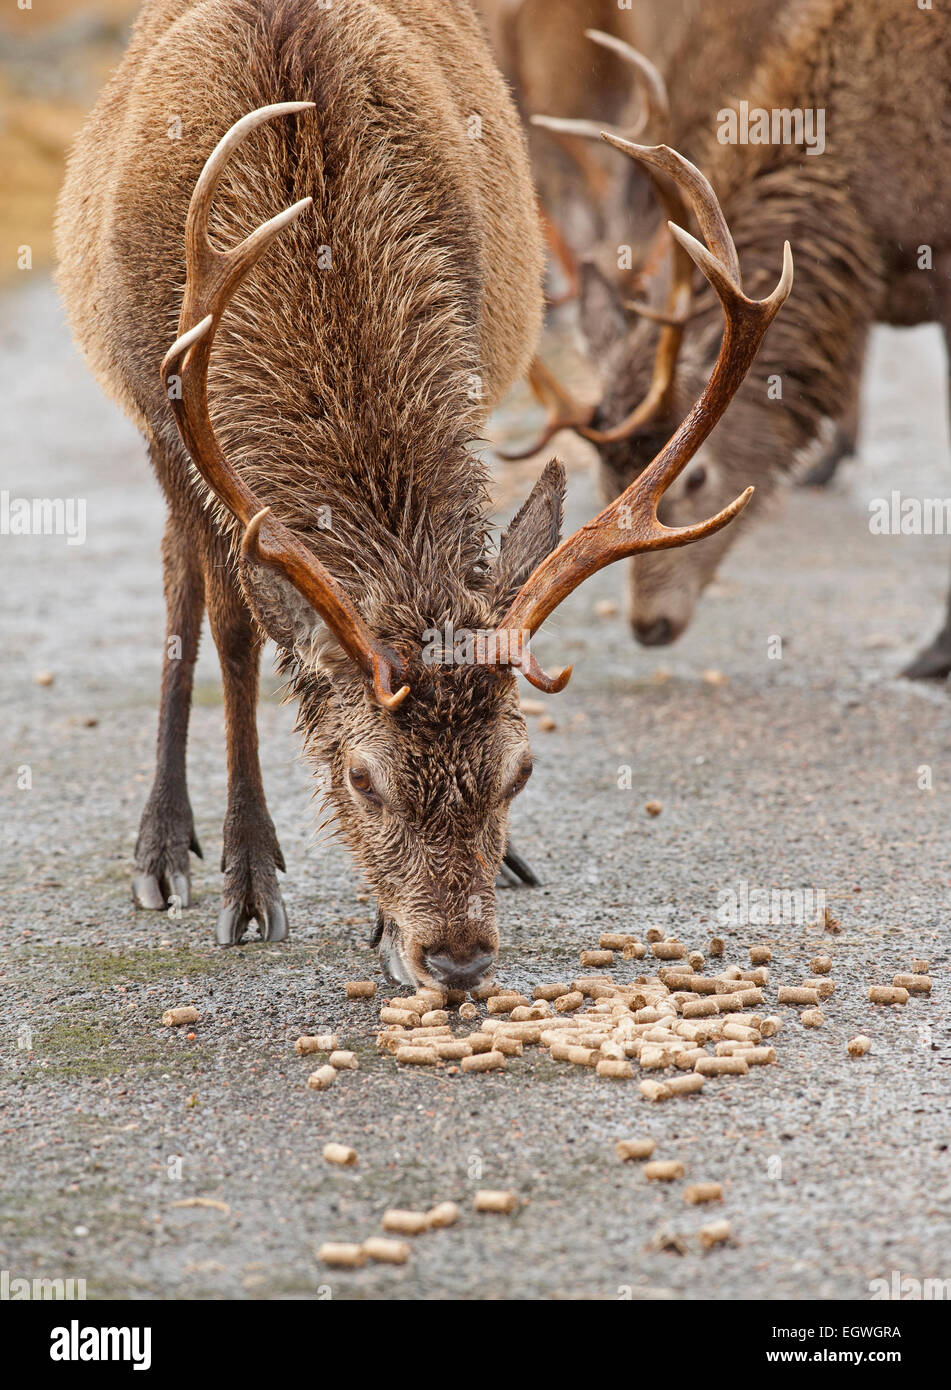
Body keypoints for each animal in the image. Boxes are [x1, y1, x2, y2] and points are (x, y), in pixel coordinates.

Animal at [55, 0, 789, 989]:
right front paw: (248, 879)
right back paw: (165, 847)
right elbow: (237, 632)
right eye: (362, 778)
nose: (457, 957)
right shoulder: (167, 412)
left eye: (520, 769)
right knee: (182, 576)